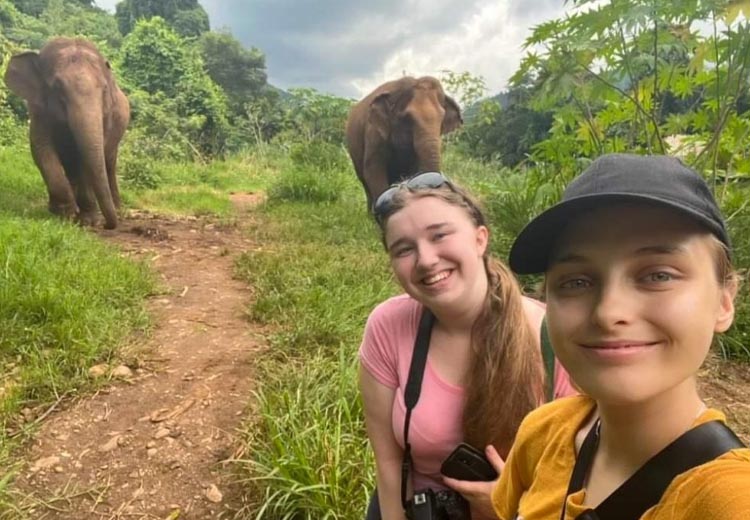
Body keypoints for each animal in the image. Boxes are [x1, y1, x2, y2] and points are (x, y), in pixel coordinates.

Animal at [3, 37, 130, 229]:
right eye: (57, 87)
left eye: (104, 90)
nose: (107, 225)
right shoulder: (38, 110)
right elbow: (41, 148)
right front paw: (64, 212)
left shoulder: (107, 117)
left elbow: (86, 156)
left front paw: (88, 221)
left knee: (108, 162)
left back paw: (117, 209)